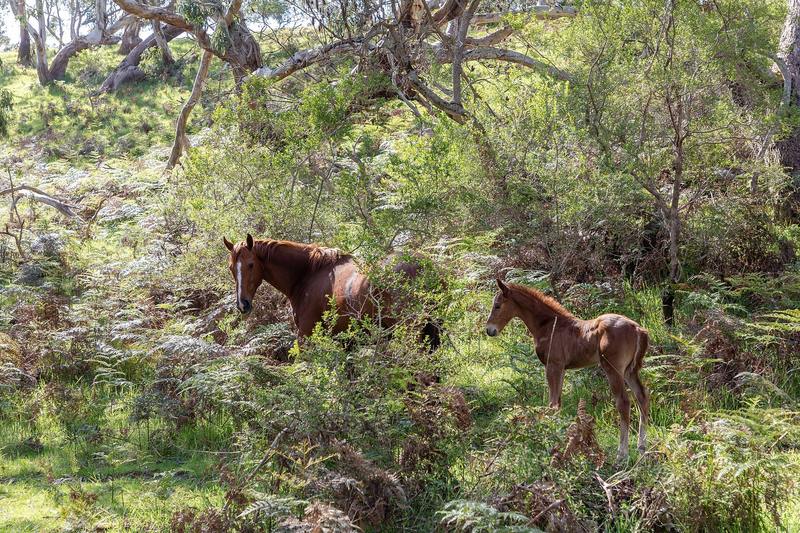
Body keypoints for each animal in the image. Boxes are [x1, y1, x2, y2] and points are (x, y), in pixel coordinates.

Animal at [485, 279, 649, 462]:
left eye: (497, 305)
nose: (489, 330)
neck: (549, 325)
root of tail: (638, 329)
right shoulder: (562, 368)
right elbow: (559, 403)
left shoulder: (553, 365)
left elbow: (552, 404)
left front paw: (551, 442)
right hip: (630, 370)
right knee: (642, 397)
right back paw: (642, 448)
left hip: (613, 369)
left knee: (624, 402)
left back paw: (622, 454)